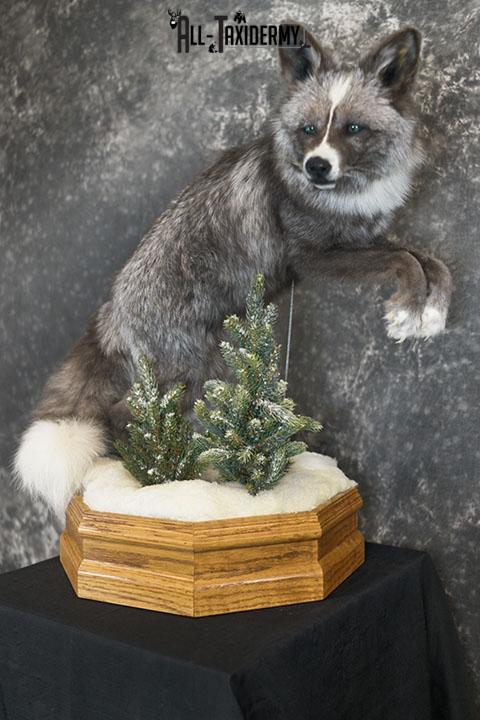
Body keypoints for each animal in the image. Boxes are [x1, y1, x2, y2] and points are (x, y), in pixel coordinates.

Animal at [15, 23, 452, 515]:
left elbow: (430, 261)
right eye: (308, 129)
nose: (316, 166)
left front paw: (430, 313)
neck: (349, 191)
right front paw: (408, 312)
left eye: (353, 128)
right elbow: (405, 260)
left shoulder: (360, 241)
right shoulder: (316, 256)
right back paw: (162, 475)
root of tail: (111, 310)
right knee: (128, 414)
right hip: (202, 370)